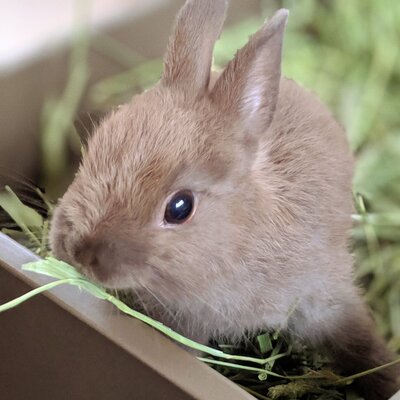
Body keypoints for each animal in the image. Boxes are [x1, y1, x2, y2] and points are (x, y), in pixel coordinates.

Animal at [49, 1, 399, 398]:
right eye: (93, 149)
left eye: (180, 207)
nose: (79, 251)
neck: (238, 242)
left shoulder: (326, 300)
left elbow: (360, 343)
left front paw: (389, 379)